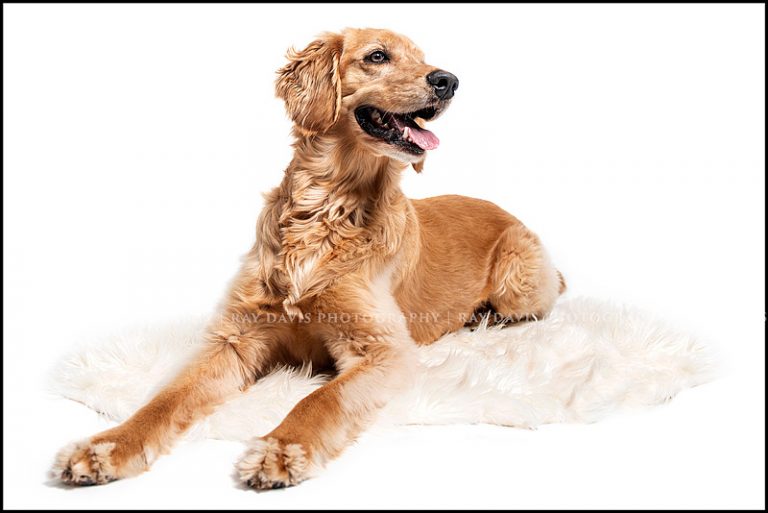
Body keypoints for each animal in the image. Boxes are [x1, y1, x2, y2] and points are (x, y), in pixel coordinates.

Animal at [52, 27, 564, 488]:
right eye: (378, 56)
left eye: (423, 58)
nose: (448, 80)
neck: (328, 207)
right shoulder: (236, 337)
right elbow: (165, 399)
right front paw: (107, 446)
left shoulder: (382, 347)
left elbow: (319, 401)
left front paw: (280, 450)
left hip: (518, 278)